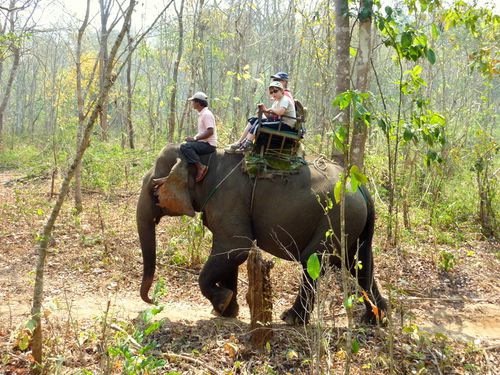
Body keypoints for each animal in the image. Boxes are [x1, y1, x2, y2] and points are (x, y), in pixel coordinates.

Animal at [137, 145, 386, 326]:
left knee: (313, 261)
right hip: (356, 223)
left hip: (334, 219)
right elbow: (232, 256)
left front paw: (222, 302)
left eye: (154, 189)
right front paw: (227, 310)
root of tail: (361, 188)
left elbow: (236, 247)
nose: (153, 300)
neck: (208, 159)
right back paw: (375, 318)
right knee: (360, 264)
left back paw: (291, 318)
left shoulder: (228, 200)